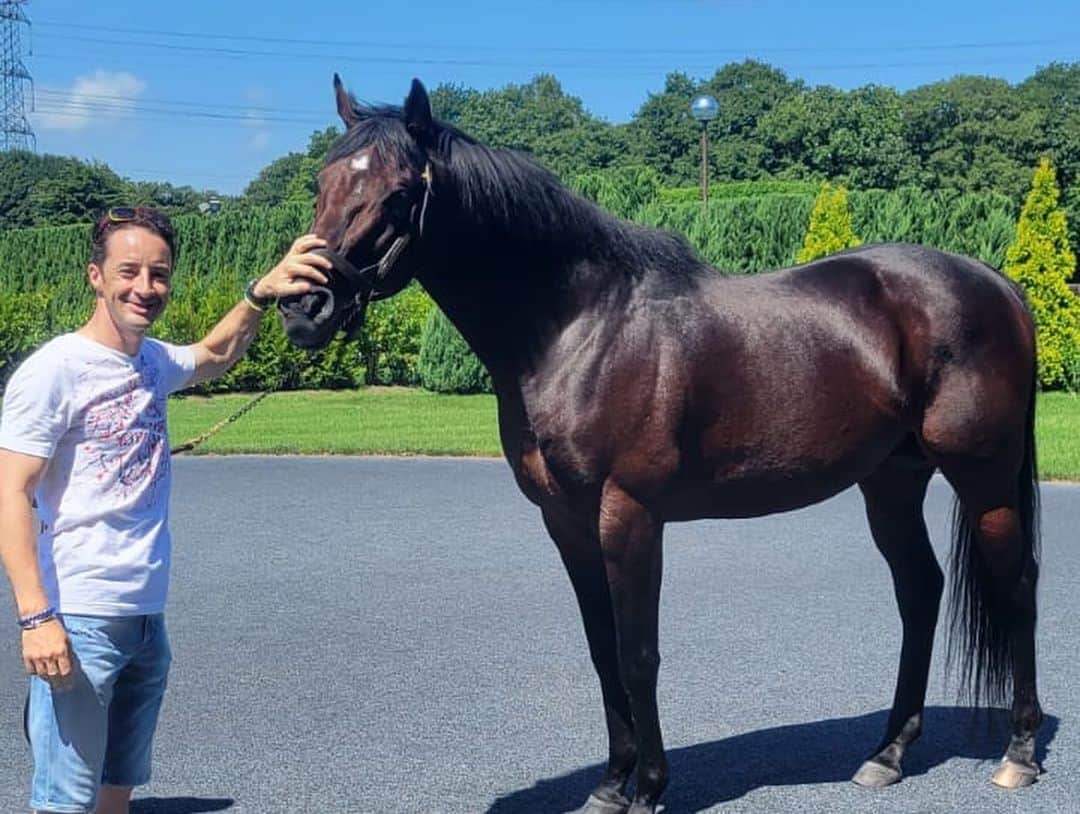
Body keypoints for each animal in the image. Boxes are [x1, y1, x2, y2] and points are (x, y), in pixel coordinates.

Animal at [277, 75, 1043, 814]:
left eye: (401, 192)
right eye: (322, 182)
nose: (302, 307)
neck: (580, 327)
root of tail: (998, 285)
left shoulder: (631, 514)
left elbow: (637, 652)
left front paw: (648, 787)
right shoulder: (567, 522)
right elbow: (601, 651)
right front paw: (611, 784)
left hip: (984, 478)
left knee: (1018, 584)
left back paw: (1018, 755)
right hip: (891, 480)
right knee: (920, 589)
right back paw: (887, 754)